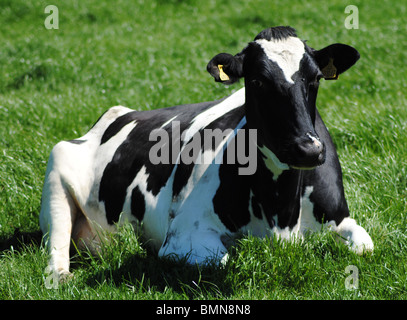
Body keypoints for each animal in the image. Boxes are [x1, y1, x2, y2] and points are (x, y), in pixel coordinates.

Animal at [39, 26, 374, 280]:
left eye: (316, 78)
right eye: (257, 80)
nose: (307, 149)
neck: (281, 213)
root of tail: (115, 114)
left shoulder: (340, 218)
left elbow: (365, 245)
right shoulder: (182, 236)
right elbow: (221, 258)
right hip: (56, 173)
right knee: (56, 245)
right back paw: (60, 276)